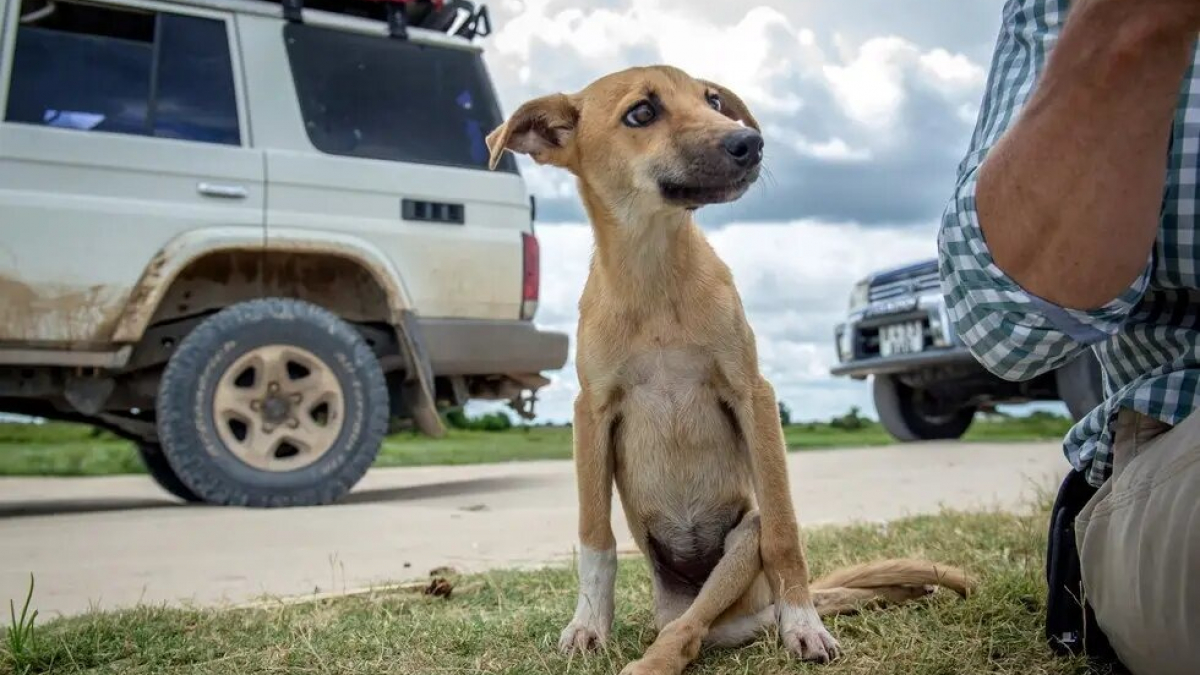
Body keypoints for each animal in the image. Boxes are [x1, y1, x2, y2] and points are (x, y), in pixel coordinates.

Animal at [482, 64, 969, 672]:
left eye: (713, 101)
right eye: (641, 112)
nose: (750, 143)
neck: (655, 275)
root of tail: (745, 611)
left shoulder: (752, 394)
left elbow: (785, 530)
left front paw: (806, 625)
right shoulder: (590, 410)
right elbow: (595, 537)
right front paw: (588, 626)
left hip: (740, 547)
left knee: (698, 624)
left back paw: (711, 642)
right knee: (692, 624)